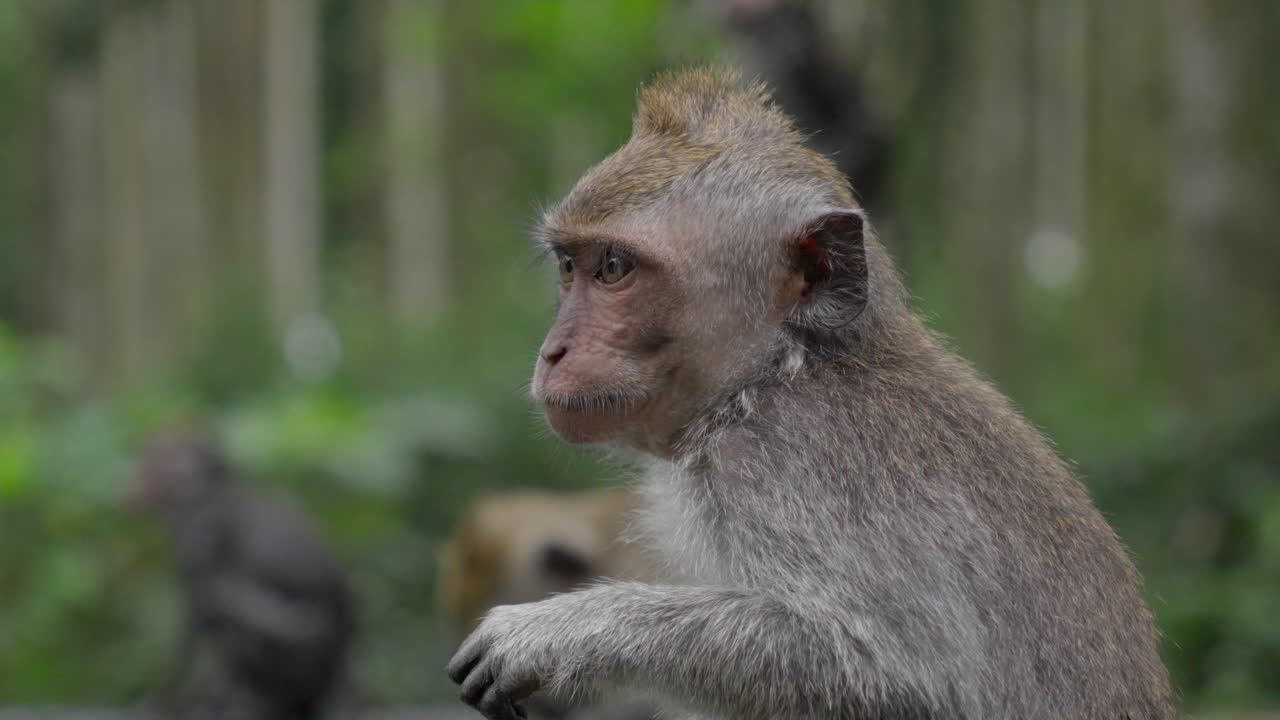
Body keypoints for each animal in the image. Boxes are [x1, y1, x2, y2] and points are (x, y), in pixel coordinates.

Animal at [131, 432, 355, 720]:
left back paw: (254, 700)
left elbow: (198, 608)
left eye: (158, 460)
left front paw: (166, 698)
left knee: (237, 608)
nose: (134, 481)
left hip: (303, 660)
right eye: (146, 457)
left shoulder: (202, 527)